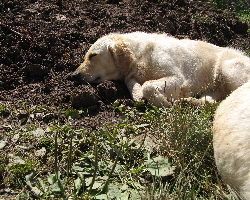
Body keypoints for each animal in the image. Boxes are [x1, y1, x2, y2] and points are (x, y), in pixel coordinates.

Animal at [73, 31, 250, 106]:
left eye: (93, 55)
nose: (74, 75)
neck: (141, 54)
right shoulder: (131, 75)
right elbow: (133, 84)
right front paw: (139, 95)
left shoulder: (178, 77)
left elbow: (148, 86)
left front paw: (162, 101)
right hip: (215, 87)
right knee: (211, 101)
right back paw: (188, 102)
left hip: (228, 70)